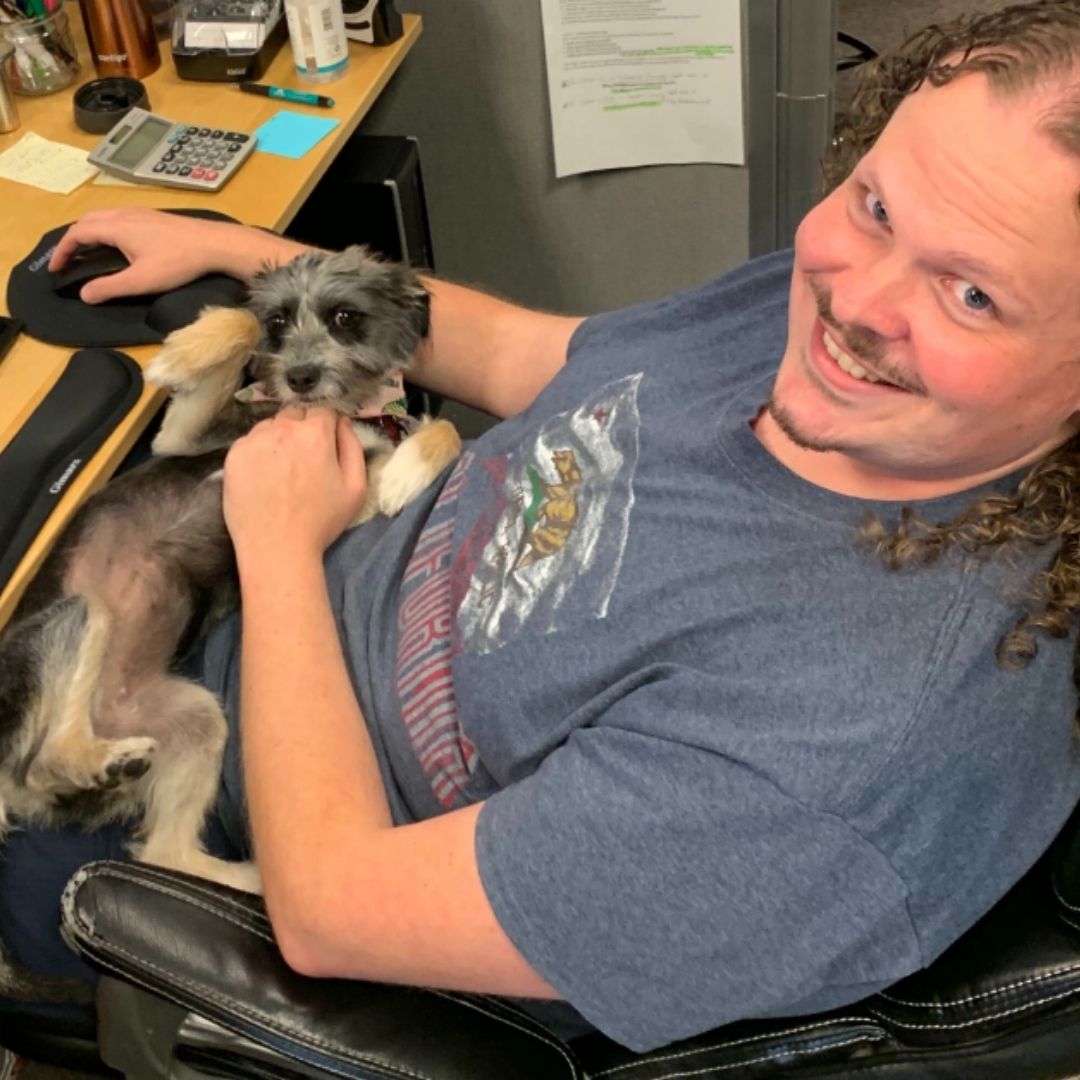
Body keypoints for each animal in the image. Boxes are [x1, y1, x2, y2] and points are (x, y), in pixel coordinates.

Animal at [0, 247, 460, 1002]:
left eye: (345, 317)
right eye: (279, 322)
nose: (298, 377)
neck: (342, 416)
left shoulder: (345, 496)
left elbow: (436, 433)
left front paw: (408, 471)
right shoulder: (182, 436)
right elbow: (231, 334)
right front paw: (181, 352)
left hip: (191, 715)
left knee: (153, 840)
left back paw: (236, 870)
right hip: (79, 618)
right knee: (53, 758)